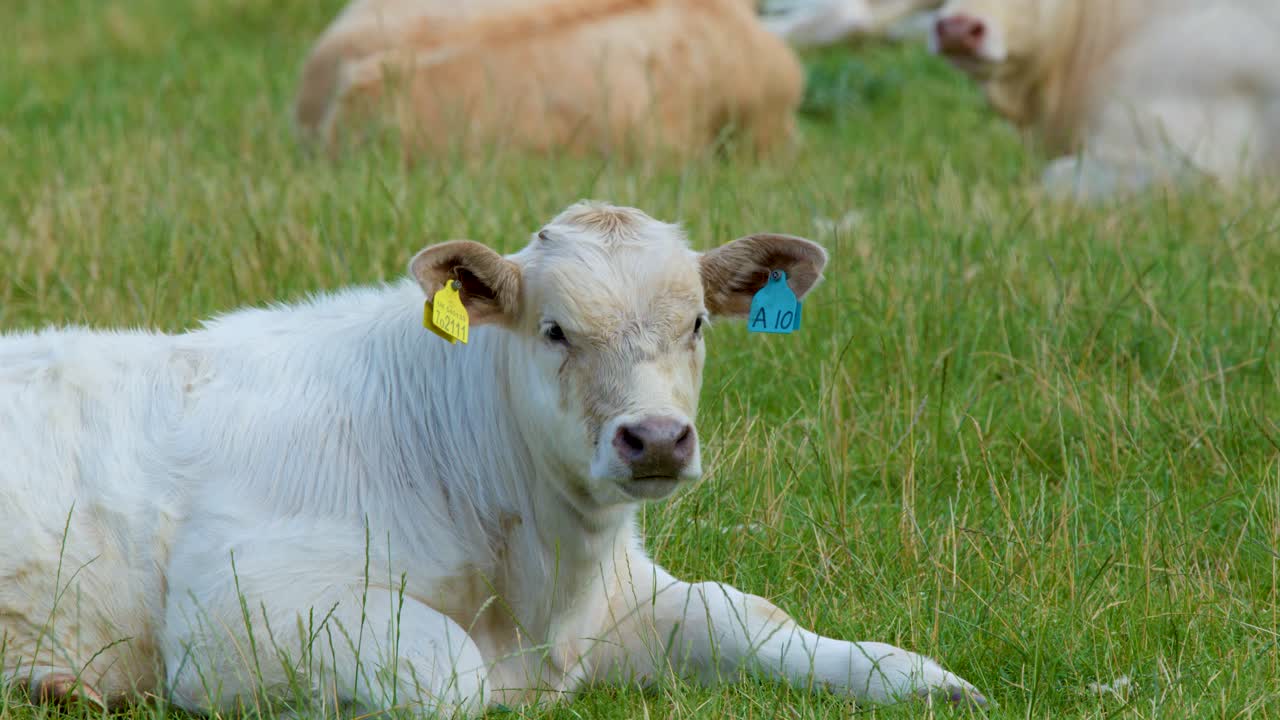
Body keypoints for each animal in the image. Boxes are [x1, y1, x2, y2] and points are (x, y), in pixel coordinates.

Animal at [0, 201, 986, 716]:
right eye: (554, 330)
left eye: (699, 323)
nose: (656, 439)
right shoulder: (241, 600)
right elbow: (451, 676)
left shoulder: (627, 598)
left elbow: (754, 618)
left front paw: (922, 678)